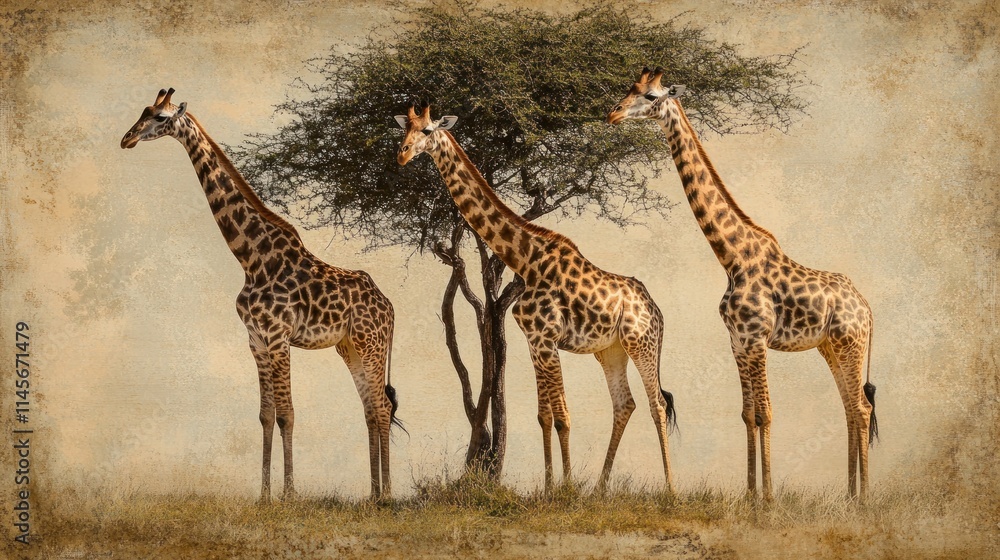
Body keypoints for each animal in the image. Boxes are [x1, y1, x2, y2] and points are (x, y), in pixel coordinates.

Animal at [120, 88, 401, 502]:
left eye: (159, 117)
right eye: (143, 112)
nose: (127, 139)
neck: (252, 258)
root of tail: (390, 308)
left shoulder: (278, 337)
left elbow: (287, 414)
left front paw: (289, 494)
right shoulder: (255, 340)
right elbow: (266, 415)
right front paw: (265, 495)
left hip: (371, 344)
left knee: (381, 408)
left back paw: (387, 495)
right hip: (349, 347)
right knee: (370, 408)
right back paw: (372, 493)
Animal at [394, 105, 676, 491]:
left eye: (425, 130)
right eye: (404, 128)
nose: (402, 154)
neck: (526, 259)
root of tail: (657, 309)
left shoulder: (547, 339)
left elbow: (563, 416)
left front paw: (567, 487)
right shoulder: (534, 341)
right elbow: (544, 415)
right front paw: (548, 487)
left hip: (642, 343)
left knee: (657, 404)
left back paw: (671, 489)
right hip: (611, 351)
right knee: (625, 404)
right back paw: (601, 488)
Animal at [608, 67, 878, 500]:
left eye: (649, 95)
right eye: (629, 89)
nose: (613, 114)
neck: (732, 257)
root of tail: (867, 308)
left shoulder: (756, 339)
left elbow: (765, 413)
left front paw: (768, 499)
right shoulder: (737, 341)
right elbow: (747, 413)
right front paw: (751, 495)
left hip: (850, 344)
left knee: (862, 408)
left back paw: (864, 499)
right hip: (830, 348)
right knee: (850, 407)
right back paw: (850, 496)